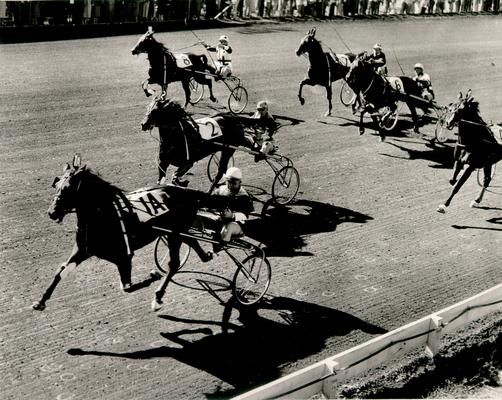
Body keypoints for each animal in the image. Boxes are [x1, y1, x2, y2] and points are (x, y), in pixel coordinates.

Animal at [33, 155, 229, 310]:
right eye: (56, 184)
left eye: (69, 188)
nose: (52, 212)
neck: (104, 217)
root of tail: (186, 193)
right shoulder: (82, 250)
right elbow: (60, 271)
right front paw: (40, 302)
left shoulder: (124, 257)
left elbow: (127, 287)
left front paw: (153, 276)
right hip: (176, 231)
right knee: (191, 242)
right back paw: (206, 256)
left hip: (174, 233)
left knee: (173, 264)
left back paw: (158, 296)